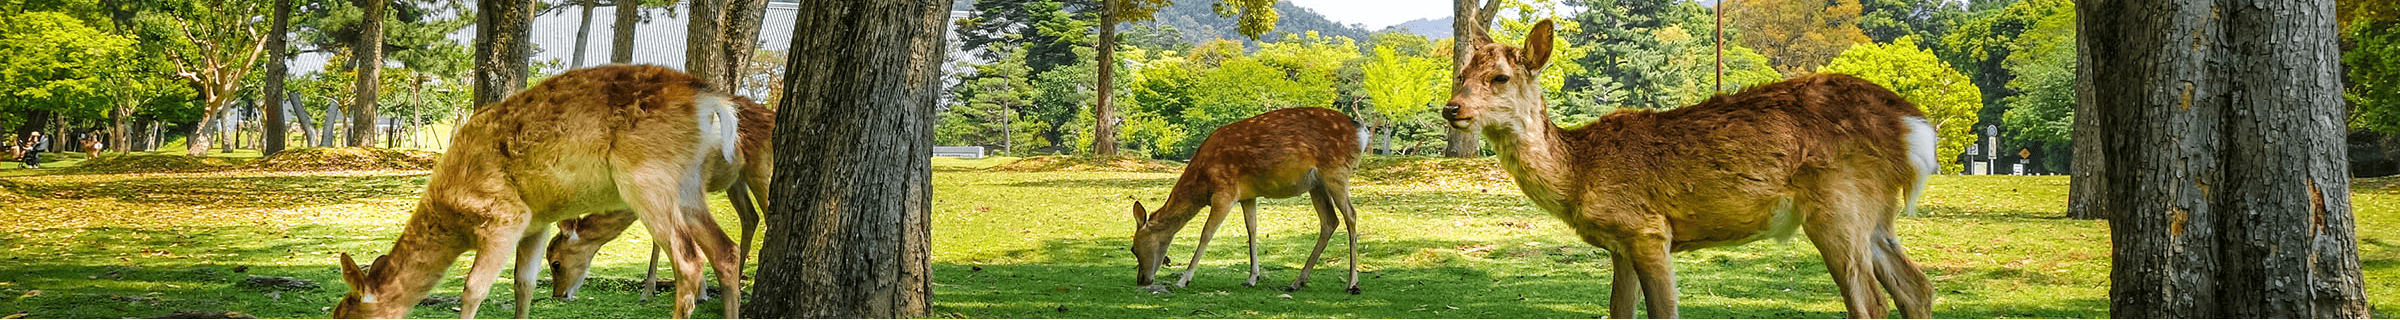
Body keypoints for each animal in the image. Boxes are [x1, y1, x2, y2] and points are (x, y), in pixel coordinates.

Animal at [331, 63, 768, 317]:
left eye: (345, 316)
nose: (560, 295)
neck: (452, 216)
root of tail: (711, 100)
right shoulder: (536, 222)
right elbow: (523, 285)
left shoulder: (504, 215)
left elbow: (473, 290)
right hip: (689, 183)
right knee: (725, 251)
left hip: (646, 177)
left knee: (689, 261)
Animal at [1128, 107, 1372, 294]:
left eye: (1133, 248)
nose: (1141, 280)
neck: (1202, 182)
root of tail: (1362, 133)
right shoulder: (1247, 195)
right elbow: (1251, 230)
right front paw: (1252, 277)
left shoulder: (1225, 191)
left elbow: (1206, 233)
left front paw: (1184, 279)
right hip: (1317, 185)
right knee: (1330, 221)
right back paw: (1297, 282)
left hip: (1336, 173)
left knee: (1351, 215)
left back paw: (1352, 284)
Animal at [1430, 19, 1939, 317]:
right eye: (1461, 74)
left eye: (1499, 77)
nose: (1451, 109)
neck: (1579, 174)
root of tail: (1911, 124)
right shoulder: (1620, 245)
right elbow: (1618, 311)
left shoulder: (1647, 229)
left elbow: (1663, 312)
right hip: (1874, 213)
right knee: (1915, 286)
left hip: (1837, 204)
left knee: (1869, 302)